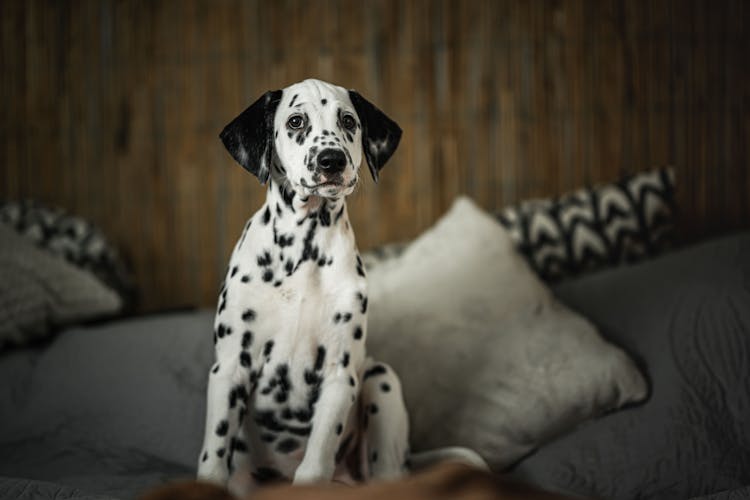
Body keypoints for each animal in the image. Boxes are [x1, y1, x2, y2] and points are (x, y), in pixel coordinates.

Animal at [197, 78, 484, 492]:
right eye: (296, 121)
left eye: (348, 120)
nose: (331, 160)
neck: (302, 251)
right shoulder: (231, 367)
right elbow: (215, 454)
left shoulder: (338, 373)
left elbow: (315, 462)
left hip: (381, 380)